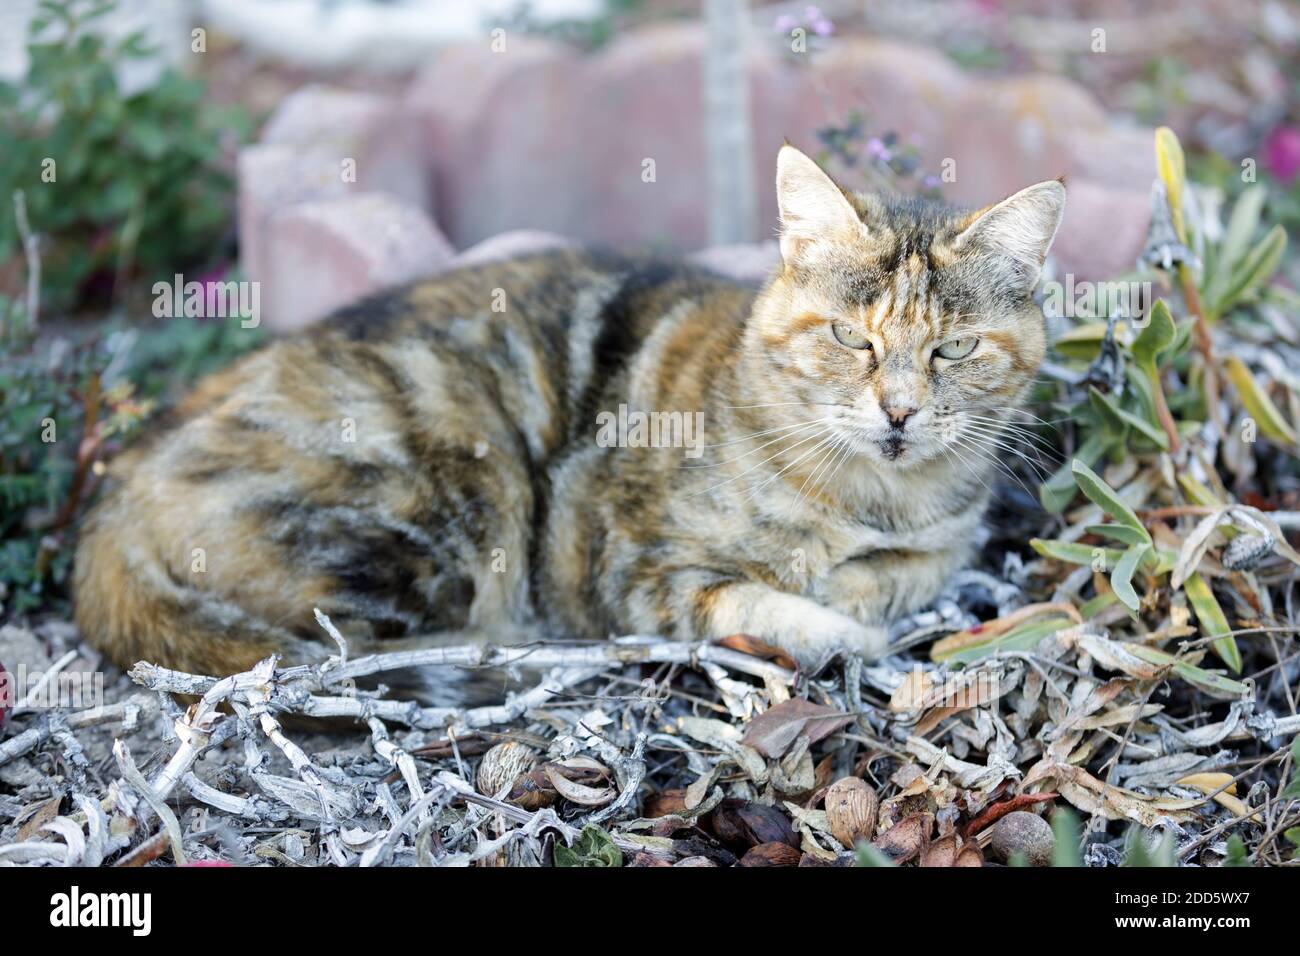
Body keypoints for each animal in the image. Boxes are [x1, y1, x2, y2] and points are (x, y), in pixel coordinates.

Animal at [73, 143, 1066, 681]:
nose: (899, 412)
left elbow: (908, 573)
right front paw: (840, 625)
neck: (870, 501)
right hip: (453, 482)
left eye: (954, 350)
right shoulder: (618, 562)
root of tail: (113, 498)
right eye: (851, 338)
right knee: (360, 640)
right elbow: (753, 601)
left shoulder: (945, 542)